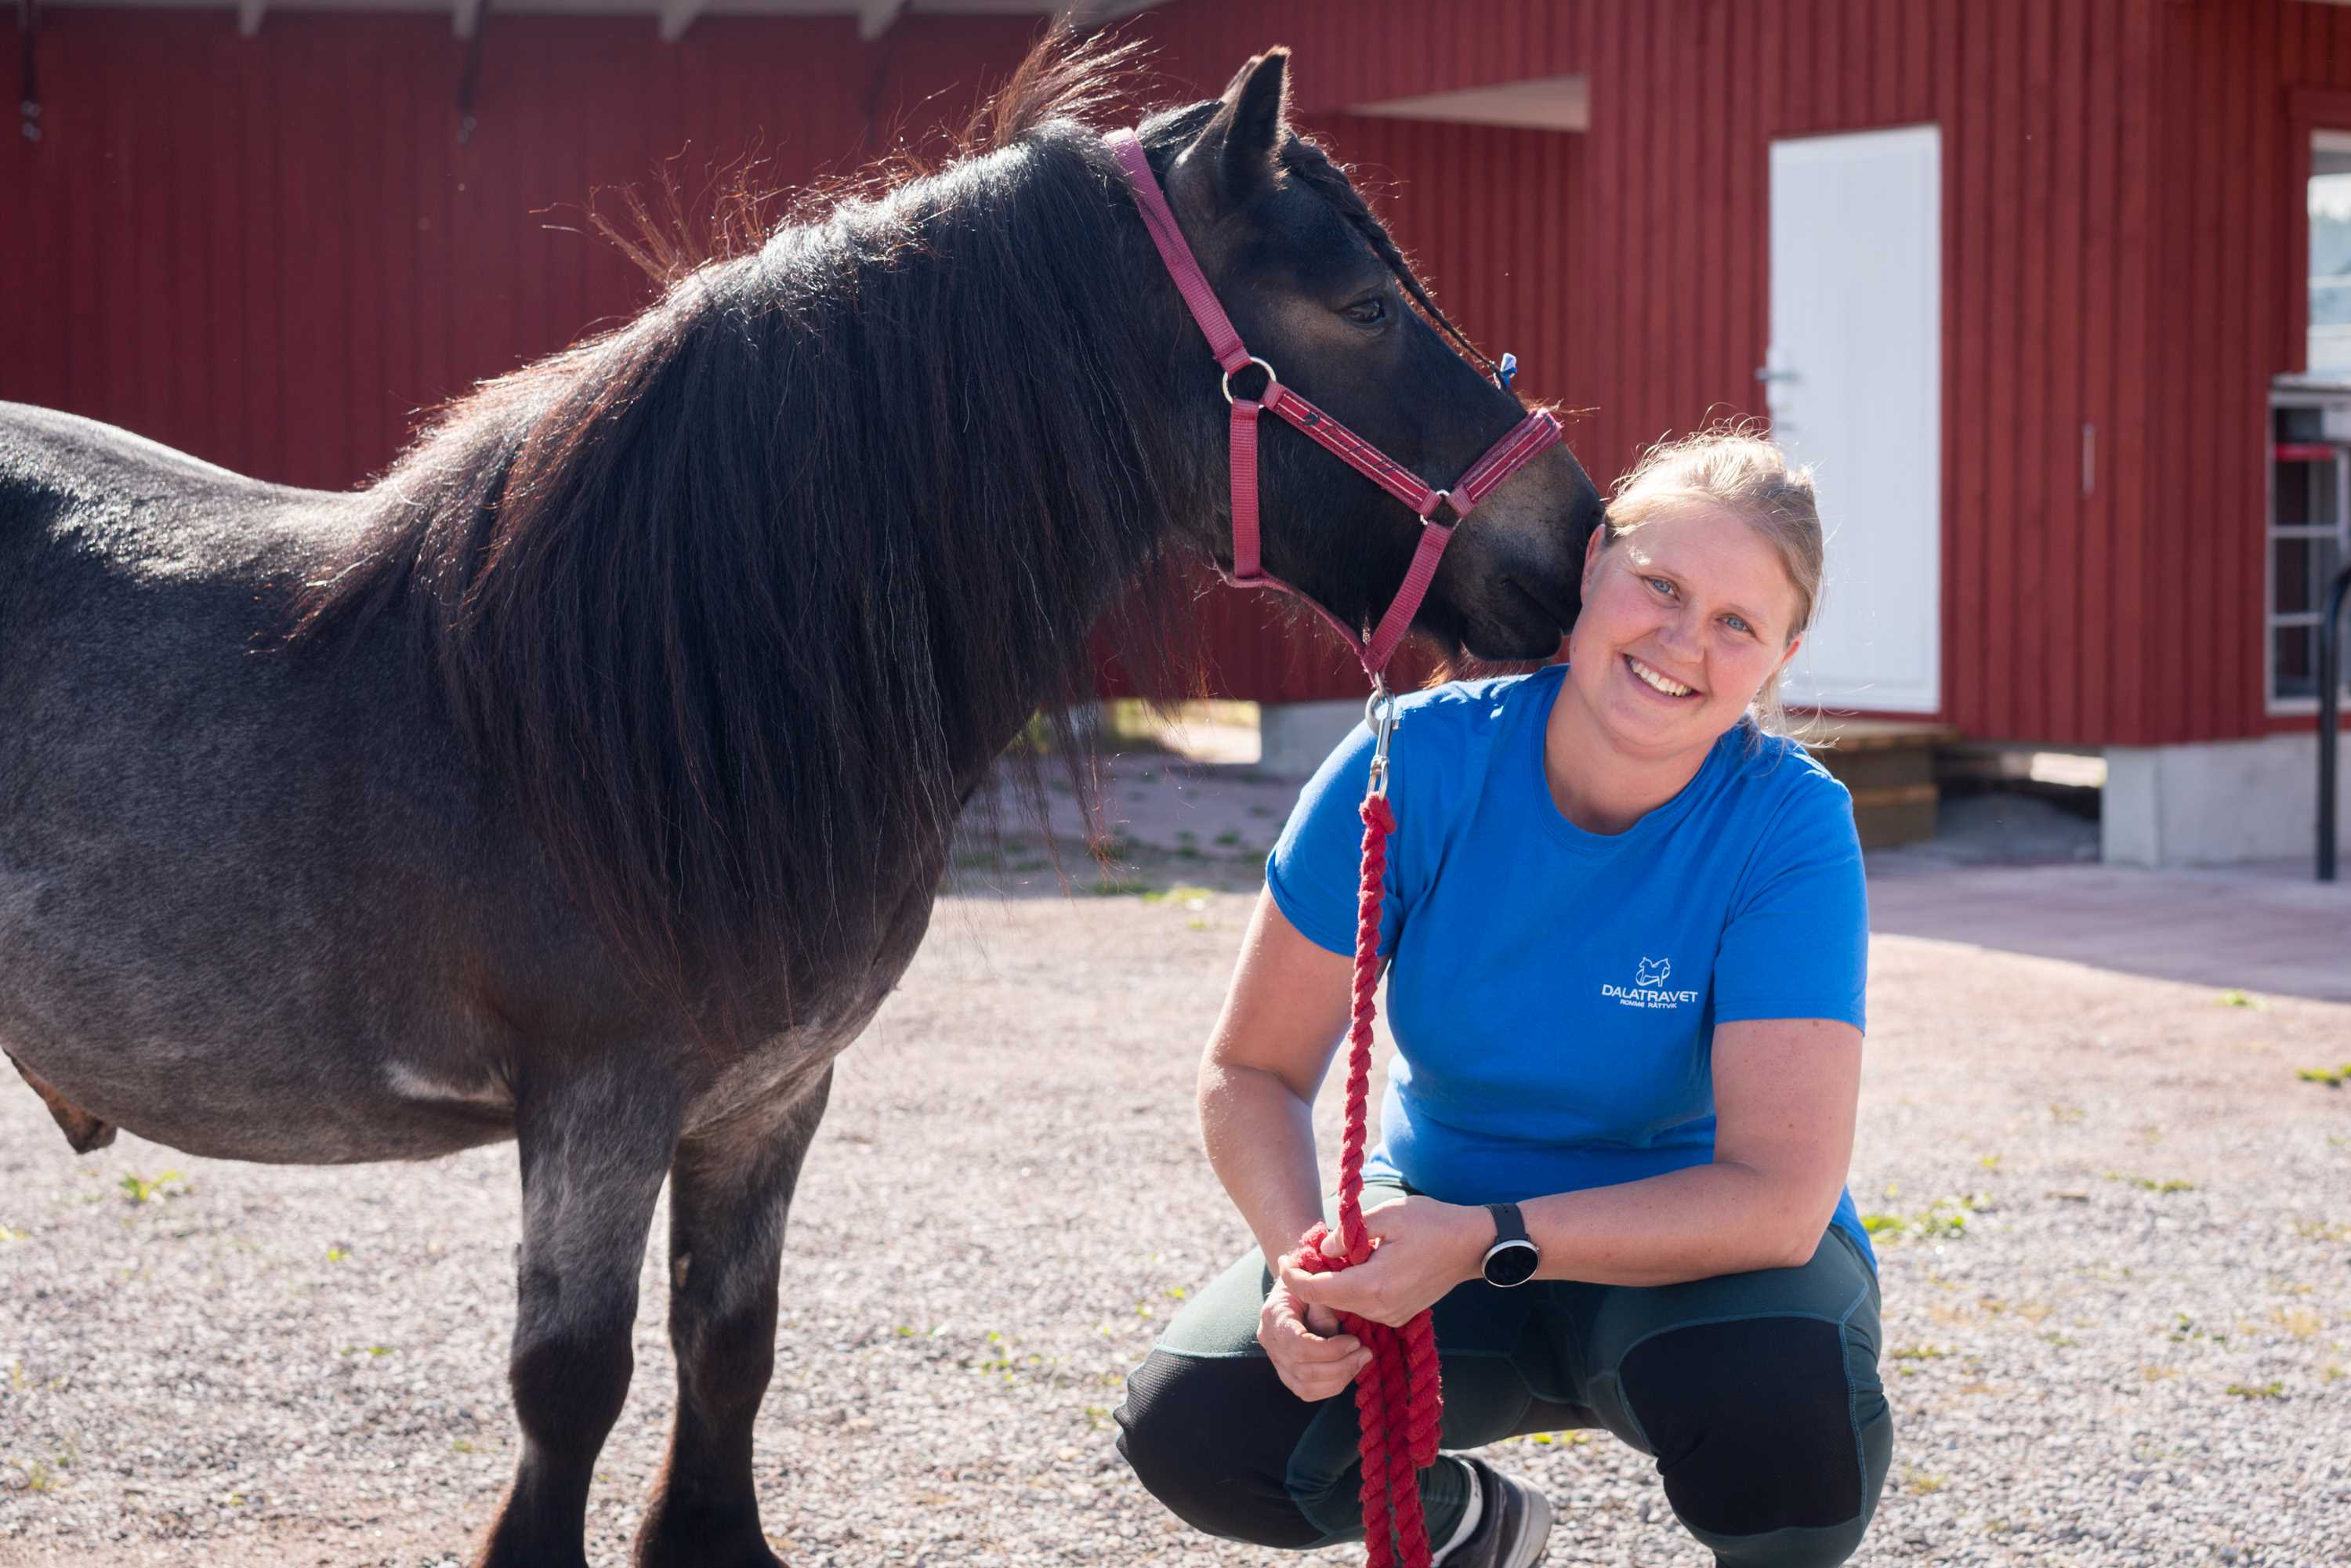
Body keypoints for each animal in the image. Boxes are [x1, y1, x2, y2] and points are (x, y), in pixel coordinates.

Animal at [0, 34, 1599, 1568]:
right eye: (1363, 309)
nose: (1579, 547)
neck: (649, 691)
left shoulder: (770, 1092)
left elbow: (730, 1342)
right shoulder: (597, 1097)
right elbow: (569, 1379)